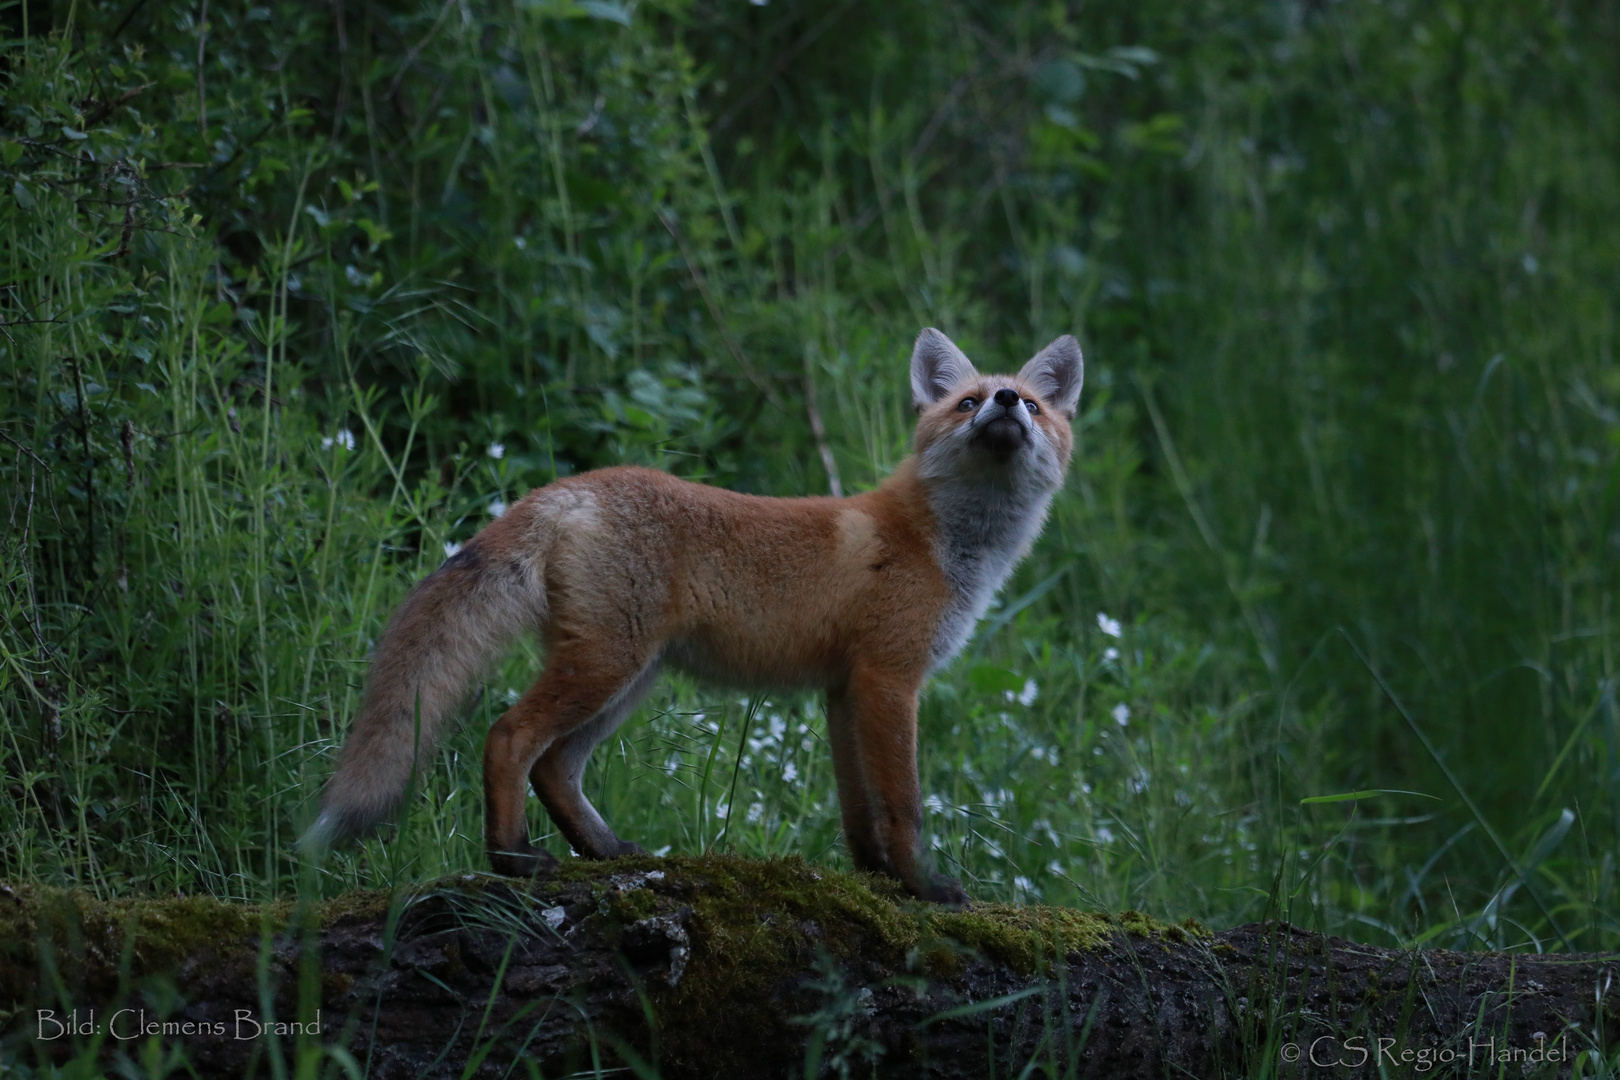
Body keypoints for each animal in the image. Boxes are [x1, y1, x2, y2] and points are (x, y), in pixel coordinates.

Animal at [307, 330, 1082, 906]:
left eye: (1033, 406)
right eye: (967, 402)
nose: (1005, 401)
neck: (939, 544)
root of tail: (571, 486)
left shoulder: (844, 689)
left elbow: (857, 807)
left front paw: (876, 879)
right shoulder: (890, 679)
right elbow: (903, 803)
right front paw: (922, 886)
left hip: (631, 677)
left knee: (555, 765)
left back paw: (607, 853)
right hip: (607, 666)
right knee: (508, 736)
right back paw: (514, 860)